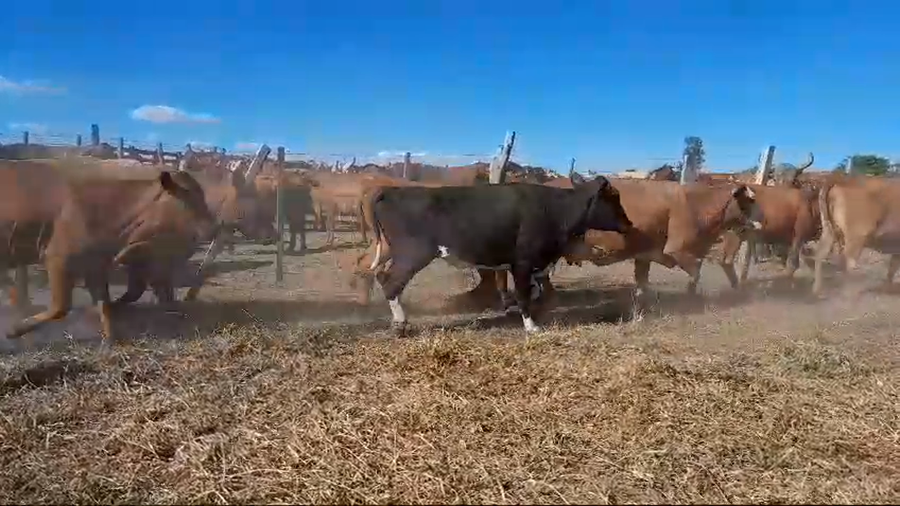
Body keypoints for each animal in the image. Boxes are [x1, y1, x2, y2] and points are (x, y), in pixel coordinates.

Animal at [7, 170, 217, 342]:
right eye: (191, 200)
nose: (213, 227)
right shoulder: (57, 259)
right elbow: (61, 307)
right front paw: (15, 329)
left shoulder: (95, 266)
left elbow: (104, 305)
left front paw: (112, 340)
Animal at [365, 173, 633, 334]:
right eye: (614, 197)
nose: (629, 224)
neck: (555, 209)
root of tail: (391, 191)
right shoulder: (522, 262)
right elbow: (524, 294)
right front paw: (531, 327)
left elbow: (534, 291)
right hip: (412, 254)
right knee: (391, 283)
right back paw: (400, 324)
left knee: (383, 277)